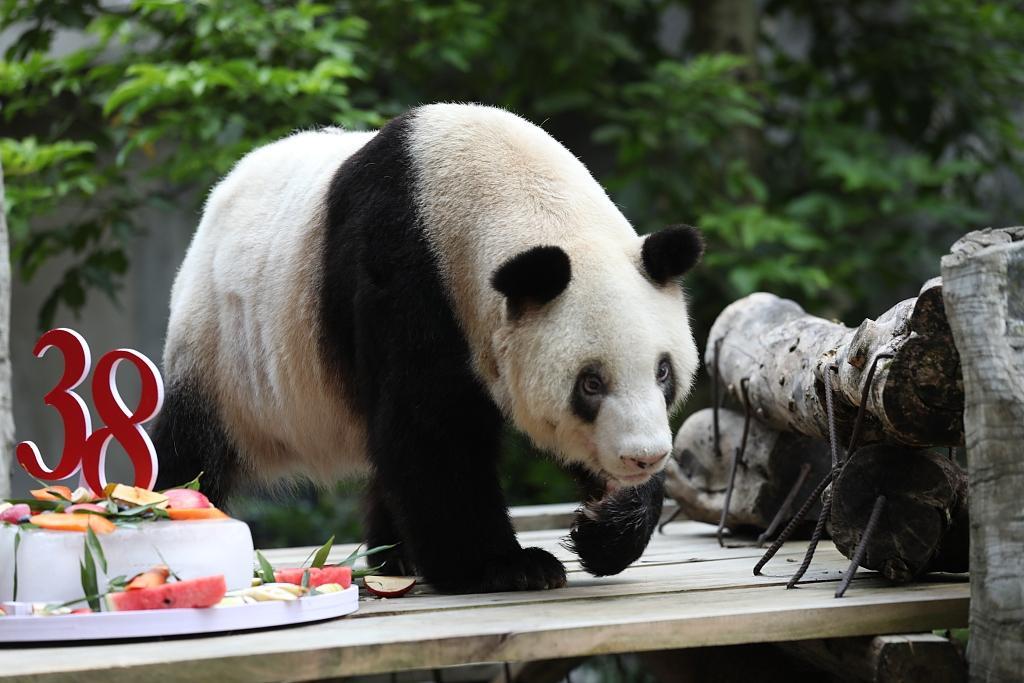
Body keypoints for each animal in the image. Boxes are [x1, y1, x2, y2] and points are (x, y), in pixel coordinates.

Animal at [153, 103, 703, 594]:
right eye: (590, 383)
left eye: (663, 372)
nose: (643, 457)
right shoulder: (408, 279)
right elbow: (430, 431)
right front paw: (507, 566)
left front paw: (605, 526)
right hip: (222, 346)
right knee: (191, 449)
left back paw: (393, 557)